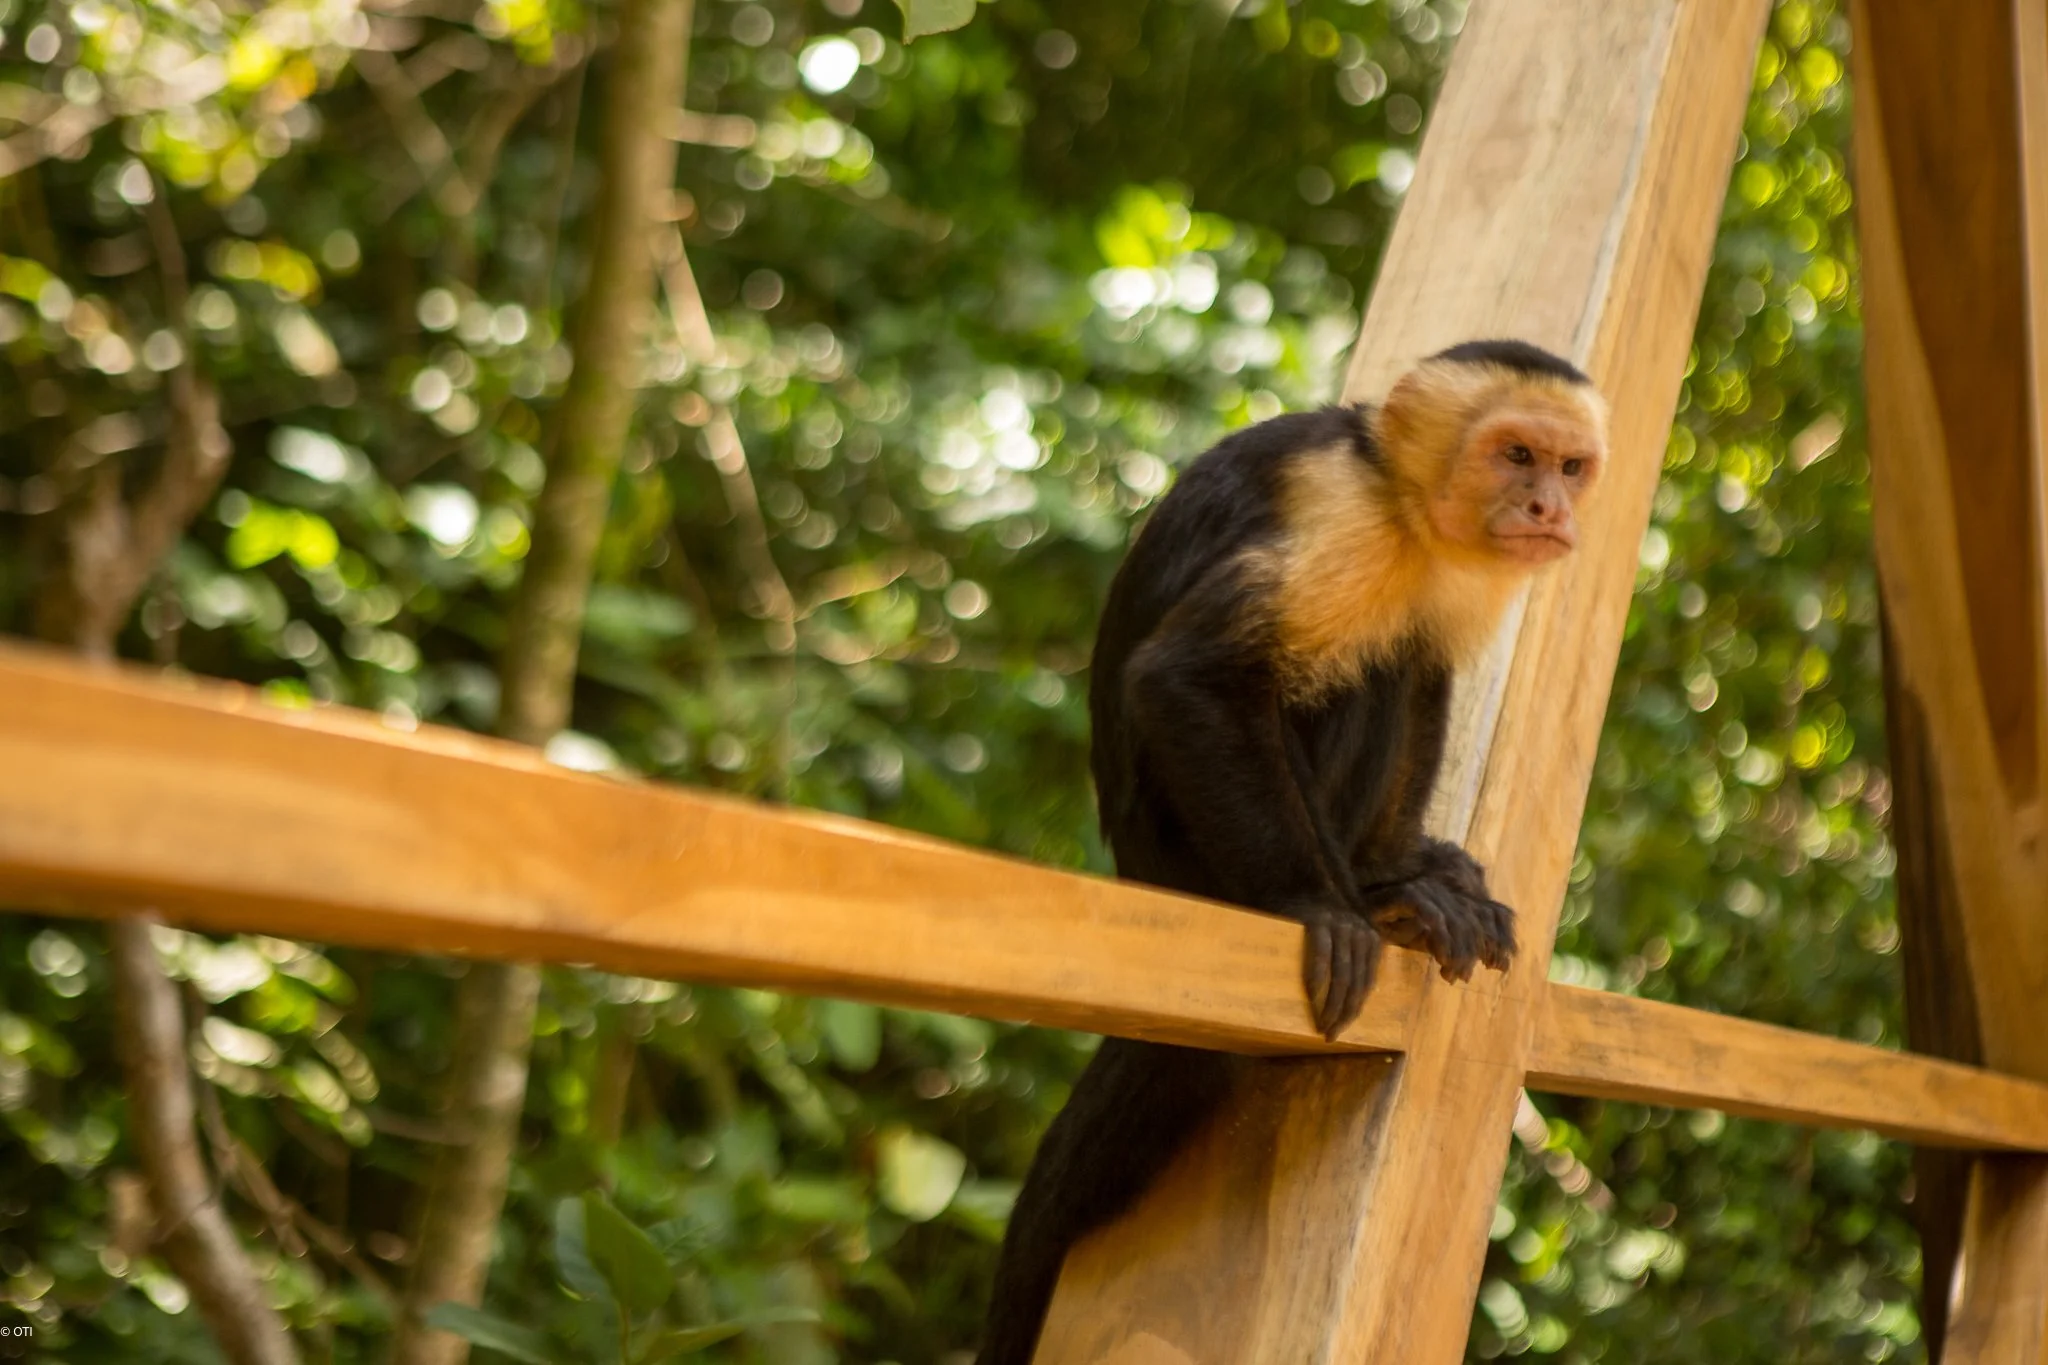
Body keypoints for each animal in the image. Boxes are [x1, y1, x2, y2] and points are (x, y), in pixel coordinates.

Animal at [975, 340, 1609, 1364]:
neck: (1397, 499)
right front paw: (1316, 902)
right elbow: (1186, 676)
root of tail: (1141, 871)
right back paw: (1357, 900)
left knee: (1404, 657)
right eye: (1516, 455)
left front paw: (1403, 869)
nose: (1550, 507)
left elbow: (1430, 667)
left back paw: (1391, 883)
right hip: (1188, 850)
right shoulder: (1340, 525)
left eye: (1569, 465)